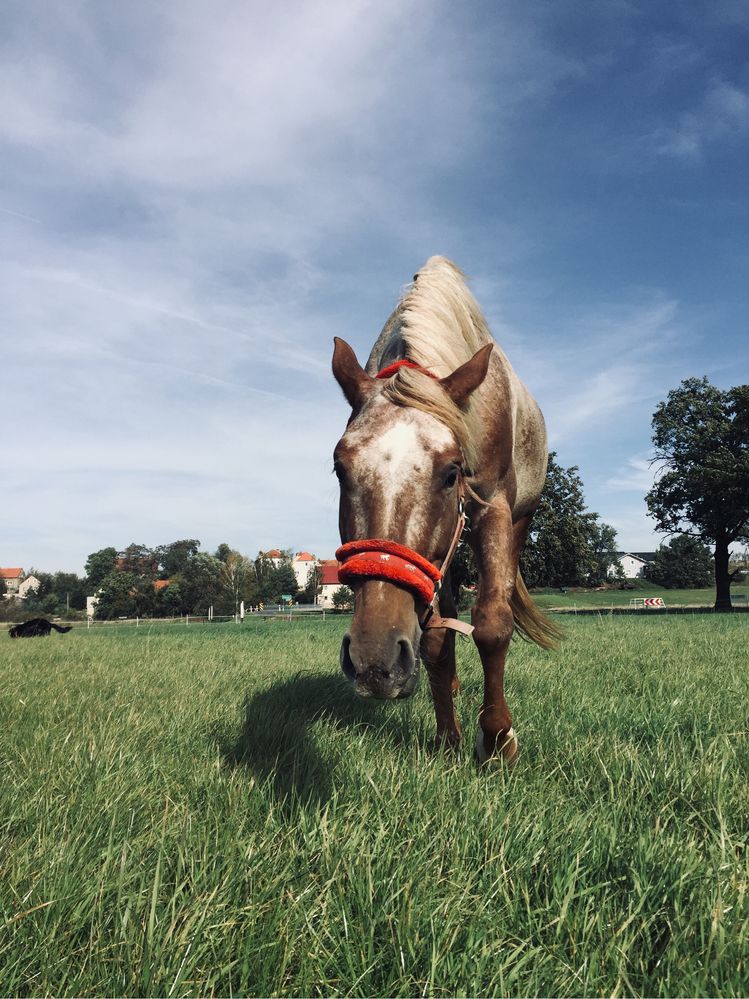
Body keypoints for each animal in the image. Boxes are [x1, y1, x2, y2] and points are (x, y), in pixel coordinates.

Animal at [330, 254, 560, 760]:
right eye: (339, 468)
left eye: (452, 472)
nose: (374, 658)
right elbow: (435, 639)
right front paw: (447, 737)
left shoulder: (493, 509)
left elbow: (493, 623)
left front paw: (497, 739)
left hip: (515, 521)